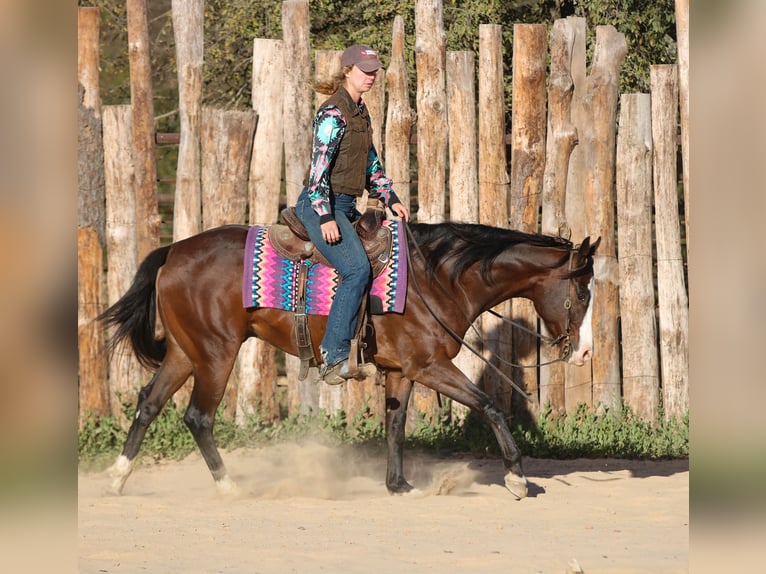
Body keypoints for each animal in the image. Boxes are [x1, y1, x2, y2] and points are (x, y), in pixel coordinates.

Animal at [100, 219, 600, 499]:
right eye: (581, 291)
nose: (585, 351)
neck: (437, 278)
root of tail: (173, 251)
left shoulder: (401, 372)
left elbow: (395, 426)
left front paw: (399, 485)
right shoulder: (430, 366)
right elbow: (490, 405)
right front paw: (517, 478)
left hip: (185, 352)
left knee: (149, 403)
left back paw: (117, 478)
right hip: (216, 353)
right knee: (198, 416)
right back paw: (229, 487)